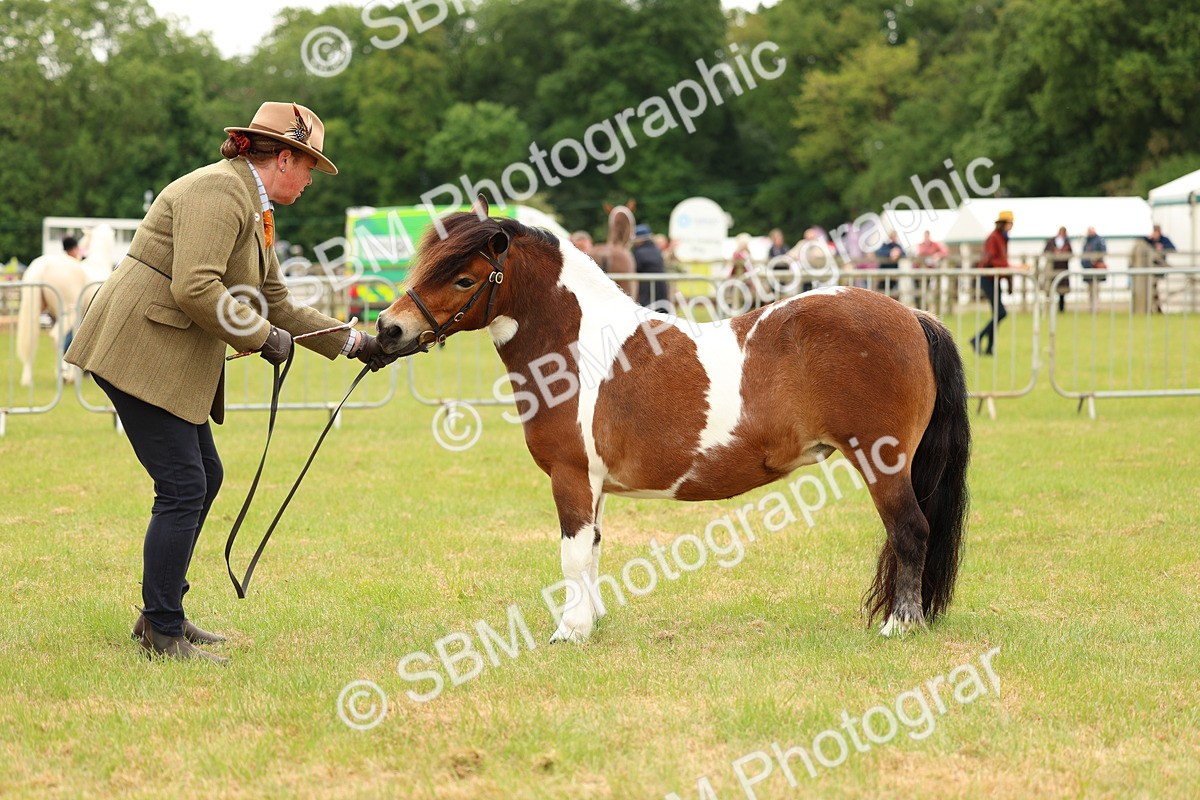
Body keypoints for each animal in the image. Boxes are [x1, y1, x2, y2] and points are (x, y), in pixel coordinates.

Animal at [17, 224, 117, 386]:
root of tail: (43, 266)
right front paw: (73, 375)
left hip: (38, 310)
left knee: (32, 339)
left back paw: (29, 379)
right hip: (68, 312)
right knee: (56, 337)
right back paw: (62, 376)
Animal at [376, 198, 970, 642]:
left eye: (463, 279)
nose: (387, 329)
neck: (576, 348)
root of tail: (911, 315)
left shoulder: (570, 476)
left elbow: (572, 554)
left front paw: (569, 630)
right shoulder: (594, 484)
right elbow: (593, 550)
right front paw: (592, 621)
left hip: (883, 462)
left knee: (910, 530)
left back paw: (899, 626)